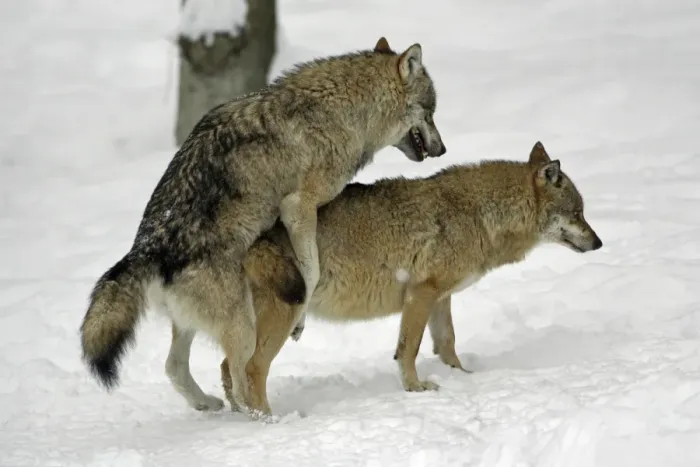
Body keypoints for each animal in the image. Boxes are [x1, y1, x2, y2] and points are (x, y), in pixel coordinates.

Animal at [79, 36, 447, 417]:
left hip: (196, 324)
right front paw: (300, 319)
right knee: (242, 376)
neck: (347, 109)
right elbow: (310, 273)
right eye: (431, 113)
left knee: (176, 368)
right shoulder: (298, 206)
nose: (443, 149)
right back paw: (266, 421)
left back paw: (207, 404)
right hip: (242, 329)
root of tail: (147, 250)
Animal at [217, 141, 603, 416]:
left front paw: (462, 377)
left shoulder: (441, 297)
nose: (599, 243)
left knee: (227, 369)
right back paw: (268, 420)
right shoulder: (421, 293)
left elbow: (447, 343)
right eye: (578, 213)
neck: (481, 215)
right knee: (251, 369)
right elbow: (409, 349)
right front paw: (416, 389)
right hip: (284, 319)